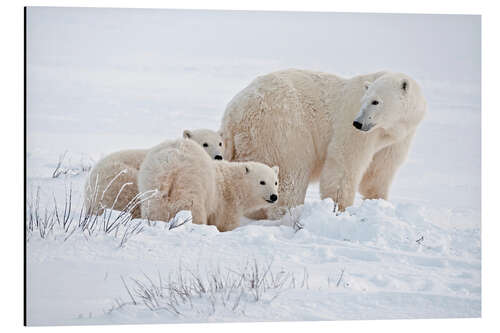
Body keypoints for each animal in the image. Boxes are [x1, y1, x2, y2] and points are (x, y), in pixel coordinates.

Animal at [138, 137, 278, 231]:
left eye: (276, 182)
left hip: (151, 183)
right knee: (193, 210)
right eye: (262, 182)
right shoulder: (225, 203)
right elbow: (225, 223)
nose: (274, 196)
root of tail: (170, 164)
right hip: (190, 183)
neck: (231, 182)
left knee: (154, 210)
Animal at [221, 68, 428, 218]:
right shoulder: (353, 128)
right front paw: (339, 209)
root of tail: (234, 114)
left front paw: (379, 202)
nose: (358, 123)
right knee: (290, 174)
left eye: (376, 101)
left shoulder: (397, 138)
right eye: (365, 100)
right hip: (283, 130)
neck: (390, 128)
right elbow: (344, 163)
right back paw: (287, 213)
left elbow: (379, 171)